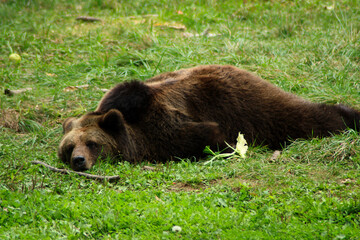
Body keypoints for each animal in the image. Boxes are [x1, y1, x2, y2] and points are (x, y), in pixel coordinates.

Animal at [57, 65, 358, 171]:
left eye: (93, 144)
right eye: (69, 147)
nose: (78, 160)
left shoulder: (165, 126)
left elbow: (206, 134)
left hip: (252, 103)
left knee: (306, 118)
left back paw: (349, 116)